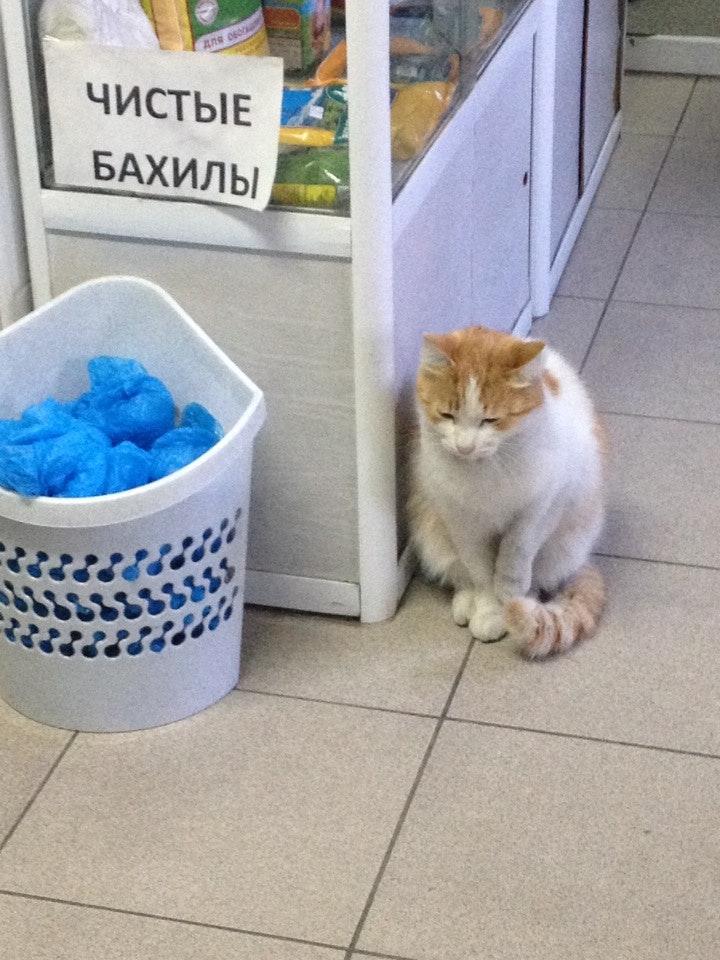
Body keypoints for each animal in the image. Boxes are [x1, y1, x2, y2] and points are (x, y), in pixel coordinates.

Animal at [408, 325, 606, 658]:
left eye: (491, 420)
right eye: (447, 415)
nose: (465, 447)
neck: (485, 470)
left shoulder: (545, 502)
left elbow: (517, 548)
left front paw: (509, 594)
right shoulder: (461, 521)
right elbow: (480, 571)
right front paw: (489, 609)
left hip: (565, 544)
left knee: (538, 579)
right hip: (432, 531)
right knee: (461, 574)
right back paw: (466, 603)